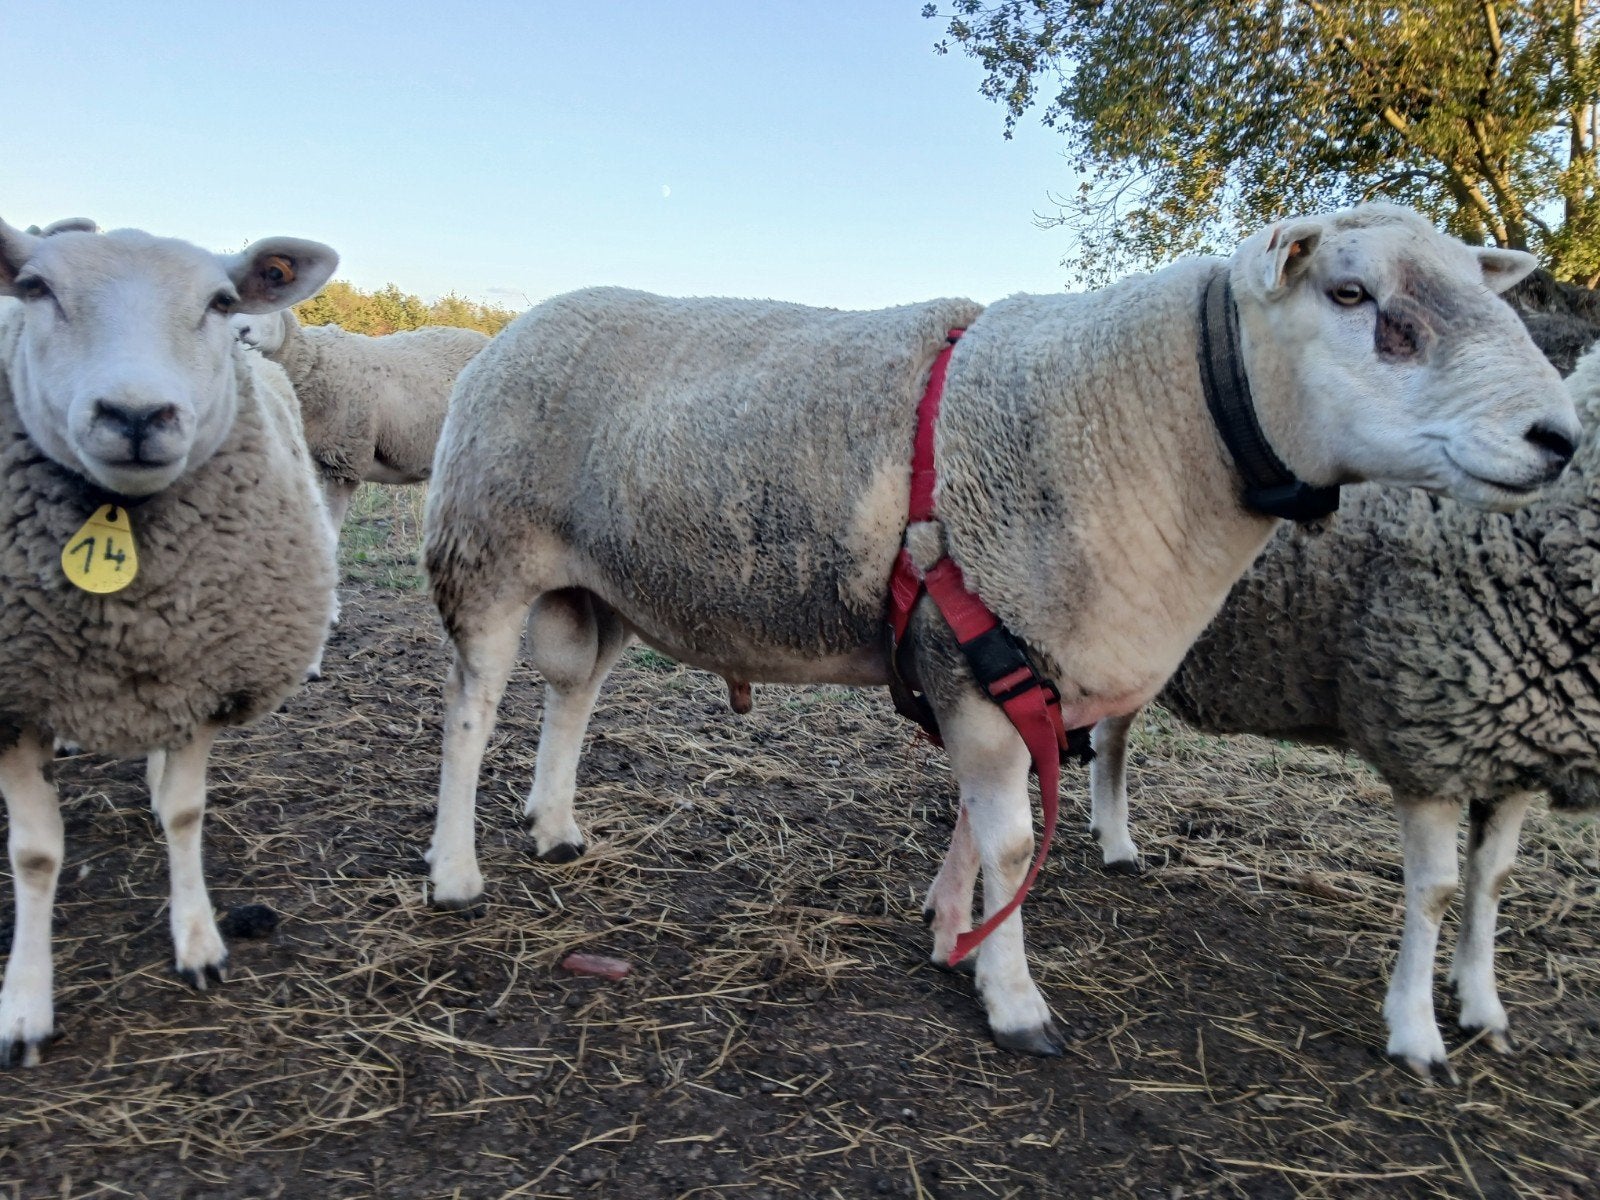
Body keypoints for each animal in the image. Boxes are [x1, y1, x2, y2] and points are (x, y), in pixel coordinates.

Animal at [0, 217, 339, 1066]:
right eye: (37, 289)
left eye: (221, 302)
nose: (136, 415)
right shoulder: (12, 701)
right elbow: (35, 854)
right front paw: (24, 1004)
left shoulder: (199, 672)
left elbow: (185, 816)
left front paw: (199, 942)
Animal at [421, 203, 1579, 1055]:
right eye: (1350, 293)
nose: (1559, 438)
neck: (1147, 422)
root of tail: (517, 324)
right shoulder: (978, 660)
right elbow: (1016, 839)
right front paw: (1015, 1001)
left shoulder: (1009, 670)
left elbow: (980, 830)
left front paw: (952, 934)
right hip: (485, 549)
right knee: (470, 713)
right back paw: (454, 875)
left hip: (601, 586)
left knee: (573, 692)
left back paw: (556, 826)